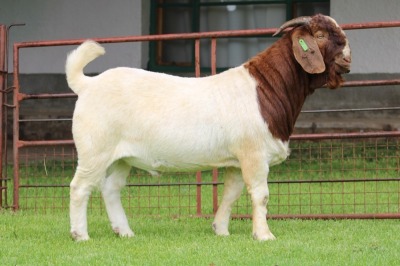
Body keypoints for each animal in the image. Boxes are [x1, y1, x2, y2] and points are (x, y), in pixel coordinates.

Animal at [67, 14, 352, 241]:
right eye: (320, 35)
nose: (348, 59)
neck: (265, 89)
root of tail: (87, 84)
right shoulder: (254, 154)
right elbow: (260, 195)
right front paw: (264, 235)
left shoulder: (237, 160)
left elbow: (231, 193)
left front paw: (221, 230)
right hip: (94, 150)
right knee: (80, 187)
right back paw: (81, 235)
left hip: (121, 158)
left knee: (111, 188)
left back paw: (125, 232)